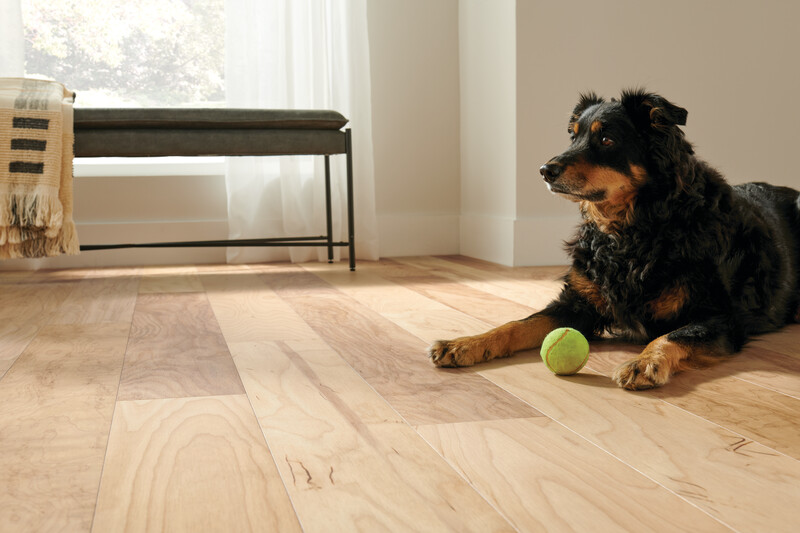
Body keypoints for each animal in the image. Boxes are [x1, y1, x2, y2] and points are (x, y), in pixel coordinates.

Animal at [432, 89, 800, 388]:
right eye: (573, 136)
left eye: (607, 140)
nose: (544, 171)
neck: (634, 229)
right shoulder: (577, 303)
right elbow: (517, 324)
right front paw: (466, 343)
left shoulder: (720, 318)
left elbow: (673, 335)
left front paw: (645, 362)